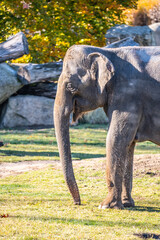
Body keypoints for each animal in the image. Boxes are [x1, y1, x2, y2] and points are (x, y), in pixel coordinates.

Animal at [53, 44, 160, 209]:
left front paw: (106, 206)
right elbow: (128, 143)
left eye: (71, 86)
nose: (78, 202)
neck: (108, 52)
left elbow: (115, 138)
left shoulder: (128, 96)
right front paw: (127, 204)